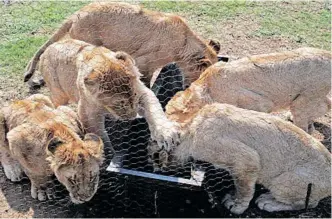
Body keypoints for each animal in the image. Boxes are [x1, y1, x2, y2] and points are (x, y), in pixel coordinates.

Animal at [24, 1, 220, 88]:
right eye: (200, 76)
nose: (187, 87)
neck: (184, 44)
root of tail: (75, 14)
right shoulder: (143, 61)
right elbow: (146, 82)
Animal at [38, 39, 180, 151]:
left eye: (134, 96)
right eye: (119, 103)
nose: (133, 117)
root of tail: (49, 48)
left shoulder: (143, 92)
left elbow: (154, 110)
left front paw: (166, 134)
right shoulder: (87, 114)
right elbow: (100, 137)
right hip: (58, 93)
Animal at [151, 103, 332, 214]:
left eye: (154, 157)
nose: (158, 168)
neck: (192, 128)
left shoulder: (246, 160)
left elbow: (243, 188)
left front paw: (236, 206)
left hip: (284, 183)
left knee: (308, 203)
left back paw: (267, 202)